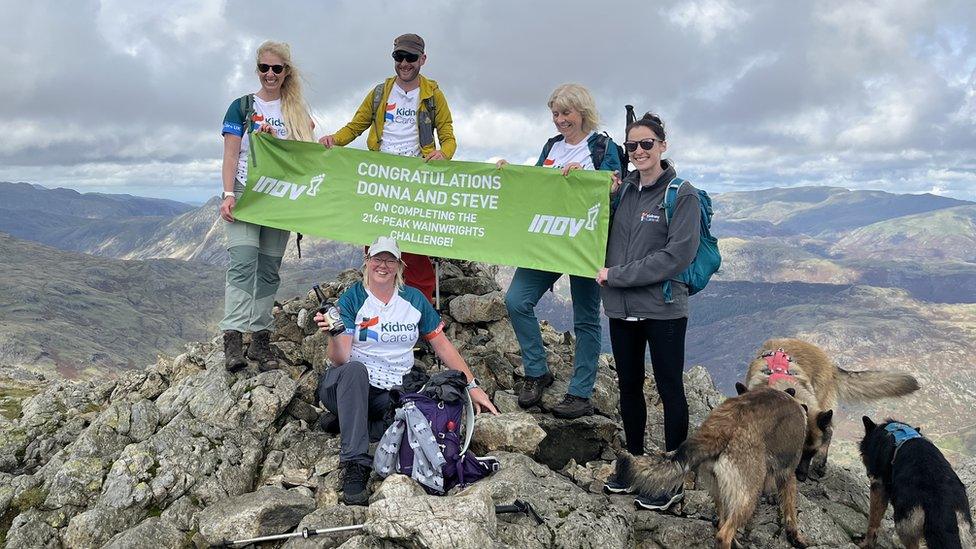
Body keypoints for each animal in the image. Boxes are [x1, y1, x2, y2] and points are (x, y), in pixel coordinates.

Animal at [616, 386, 808, 548]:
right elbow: (790, 508)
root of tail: (719, 429)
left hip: (720, 488)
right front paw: (795, 537)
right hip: (748, 494)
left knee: (722, 523)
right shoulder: (787, 474)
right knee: (724, 533)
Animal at [856, 416, 972, 548]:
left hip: (905, 525)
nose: (868, 473)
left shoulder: (878, 486)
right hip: (963, 532)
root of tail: (942, 504)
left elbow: (873, 521)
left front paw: (866, 543)